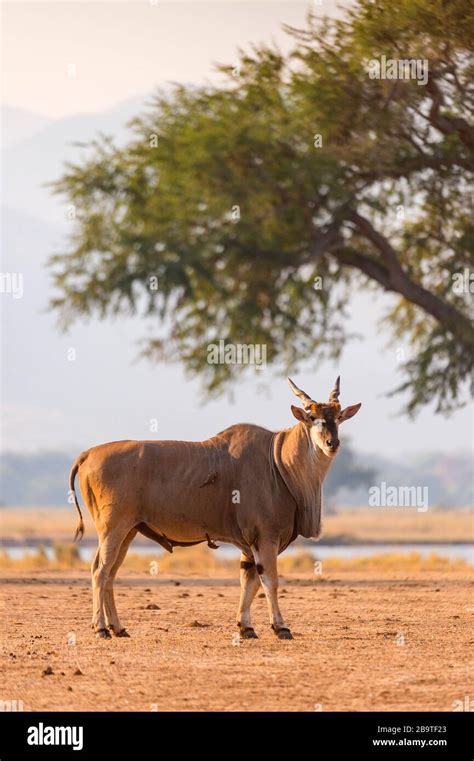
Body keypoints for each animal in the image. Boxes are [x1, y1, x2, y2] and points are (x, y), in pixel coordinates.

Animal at [69, 378, 360, 640]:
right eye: (311, 417)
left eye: (338, 417)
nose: (332, 443)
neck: (277, 461)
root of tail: (87, 454)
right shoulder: (265, 538)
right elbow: (270, 580)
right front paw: (280, 627)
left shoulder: (249, 545)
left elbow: (249, 581)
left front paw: (246, 627)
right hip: (113, 529)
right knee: (100, 571)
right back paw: (101, 629)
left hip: (128, 532)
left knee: (110, 573)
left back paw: (118, 628)